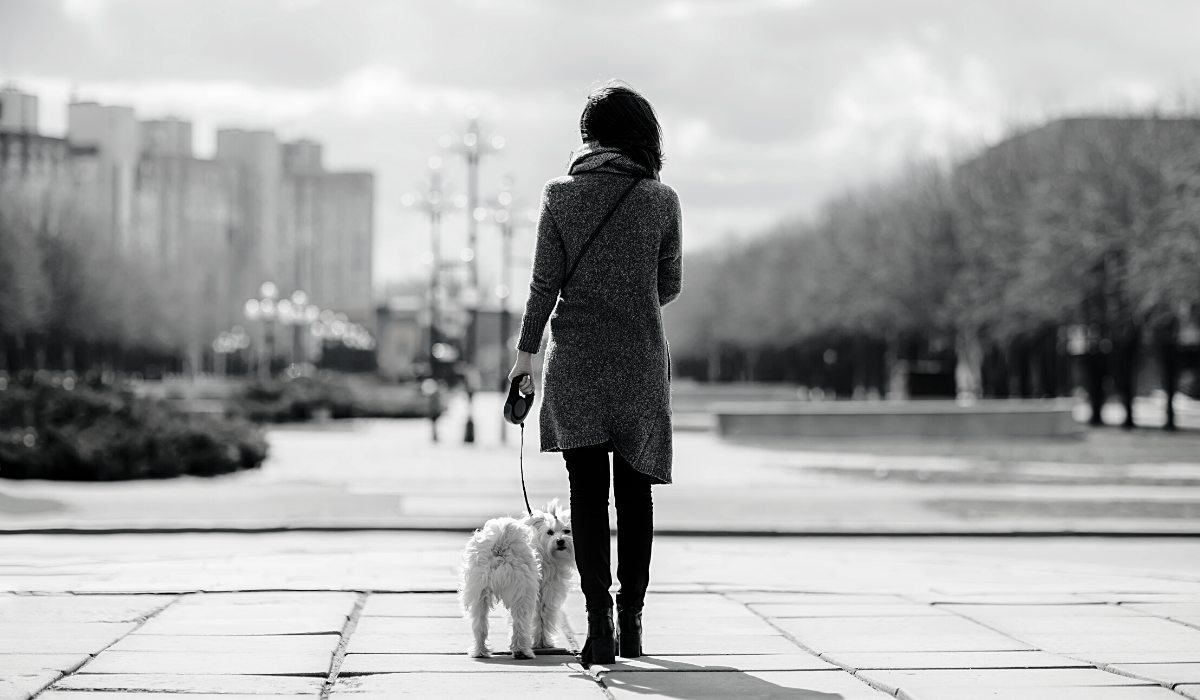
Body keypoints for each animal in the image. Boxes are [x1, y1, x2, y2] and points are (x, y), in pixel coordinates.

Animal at [456, 501, 573, 657]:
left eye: (567, 531)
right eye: (550, 532)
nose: (560, 541)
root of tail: (501, 545)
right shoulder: (547, 593)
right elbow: (542, 619)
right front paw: (543, 643)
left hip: (478, 592)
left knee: (479, 624)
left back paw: (480, 651)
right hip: (523, 594)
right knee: (520, 623)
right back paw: (522, 651)